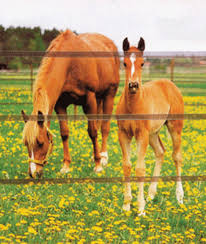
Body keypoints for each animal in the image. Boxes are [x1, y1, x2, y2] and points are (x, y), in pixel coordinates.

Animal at [21, 29, 119, 178]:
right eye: (26, 144)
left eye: (40, 143)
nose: (33, 173)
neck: (70, 64)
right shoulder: (60, 105)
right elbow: (64, 133)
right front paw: (66, 166)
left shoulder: (89, 99)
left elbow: (92, 132)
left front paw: (97, 166)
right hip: (98, 99)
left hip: (109, 95)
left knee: (104, 127)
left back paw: (103, 157)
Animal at [116, 36, 184, 215]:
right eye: (124, 63)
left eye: (142, 63)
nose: (133, 85)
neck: (133, 105)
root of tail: (170, 84)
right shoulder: (123, 134)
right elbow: (127, 166)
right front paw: (126, 205)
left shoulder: (142, 135)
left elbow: (140, 169)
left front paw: (140, 209)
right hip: (153, 133)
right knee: (160, 152)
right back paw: (151, 194)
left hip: (174, 127)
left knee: (177, 157)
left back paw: (179, 197)